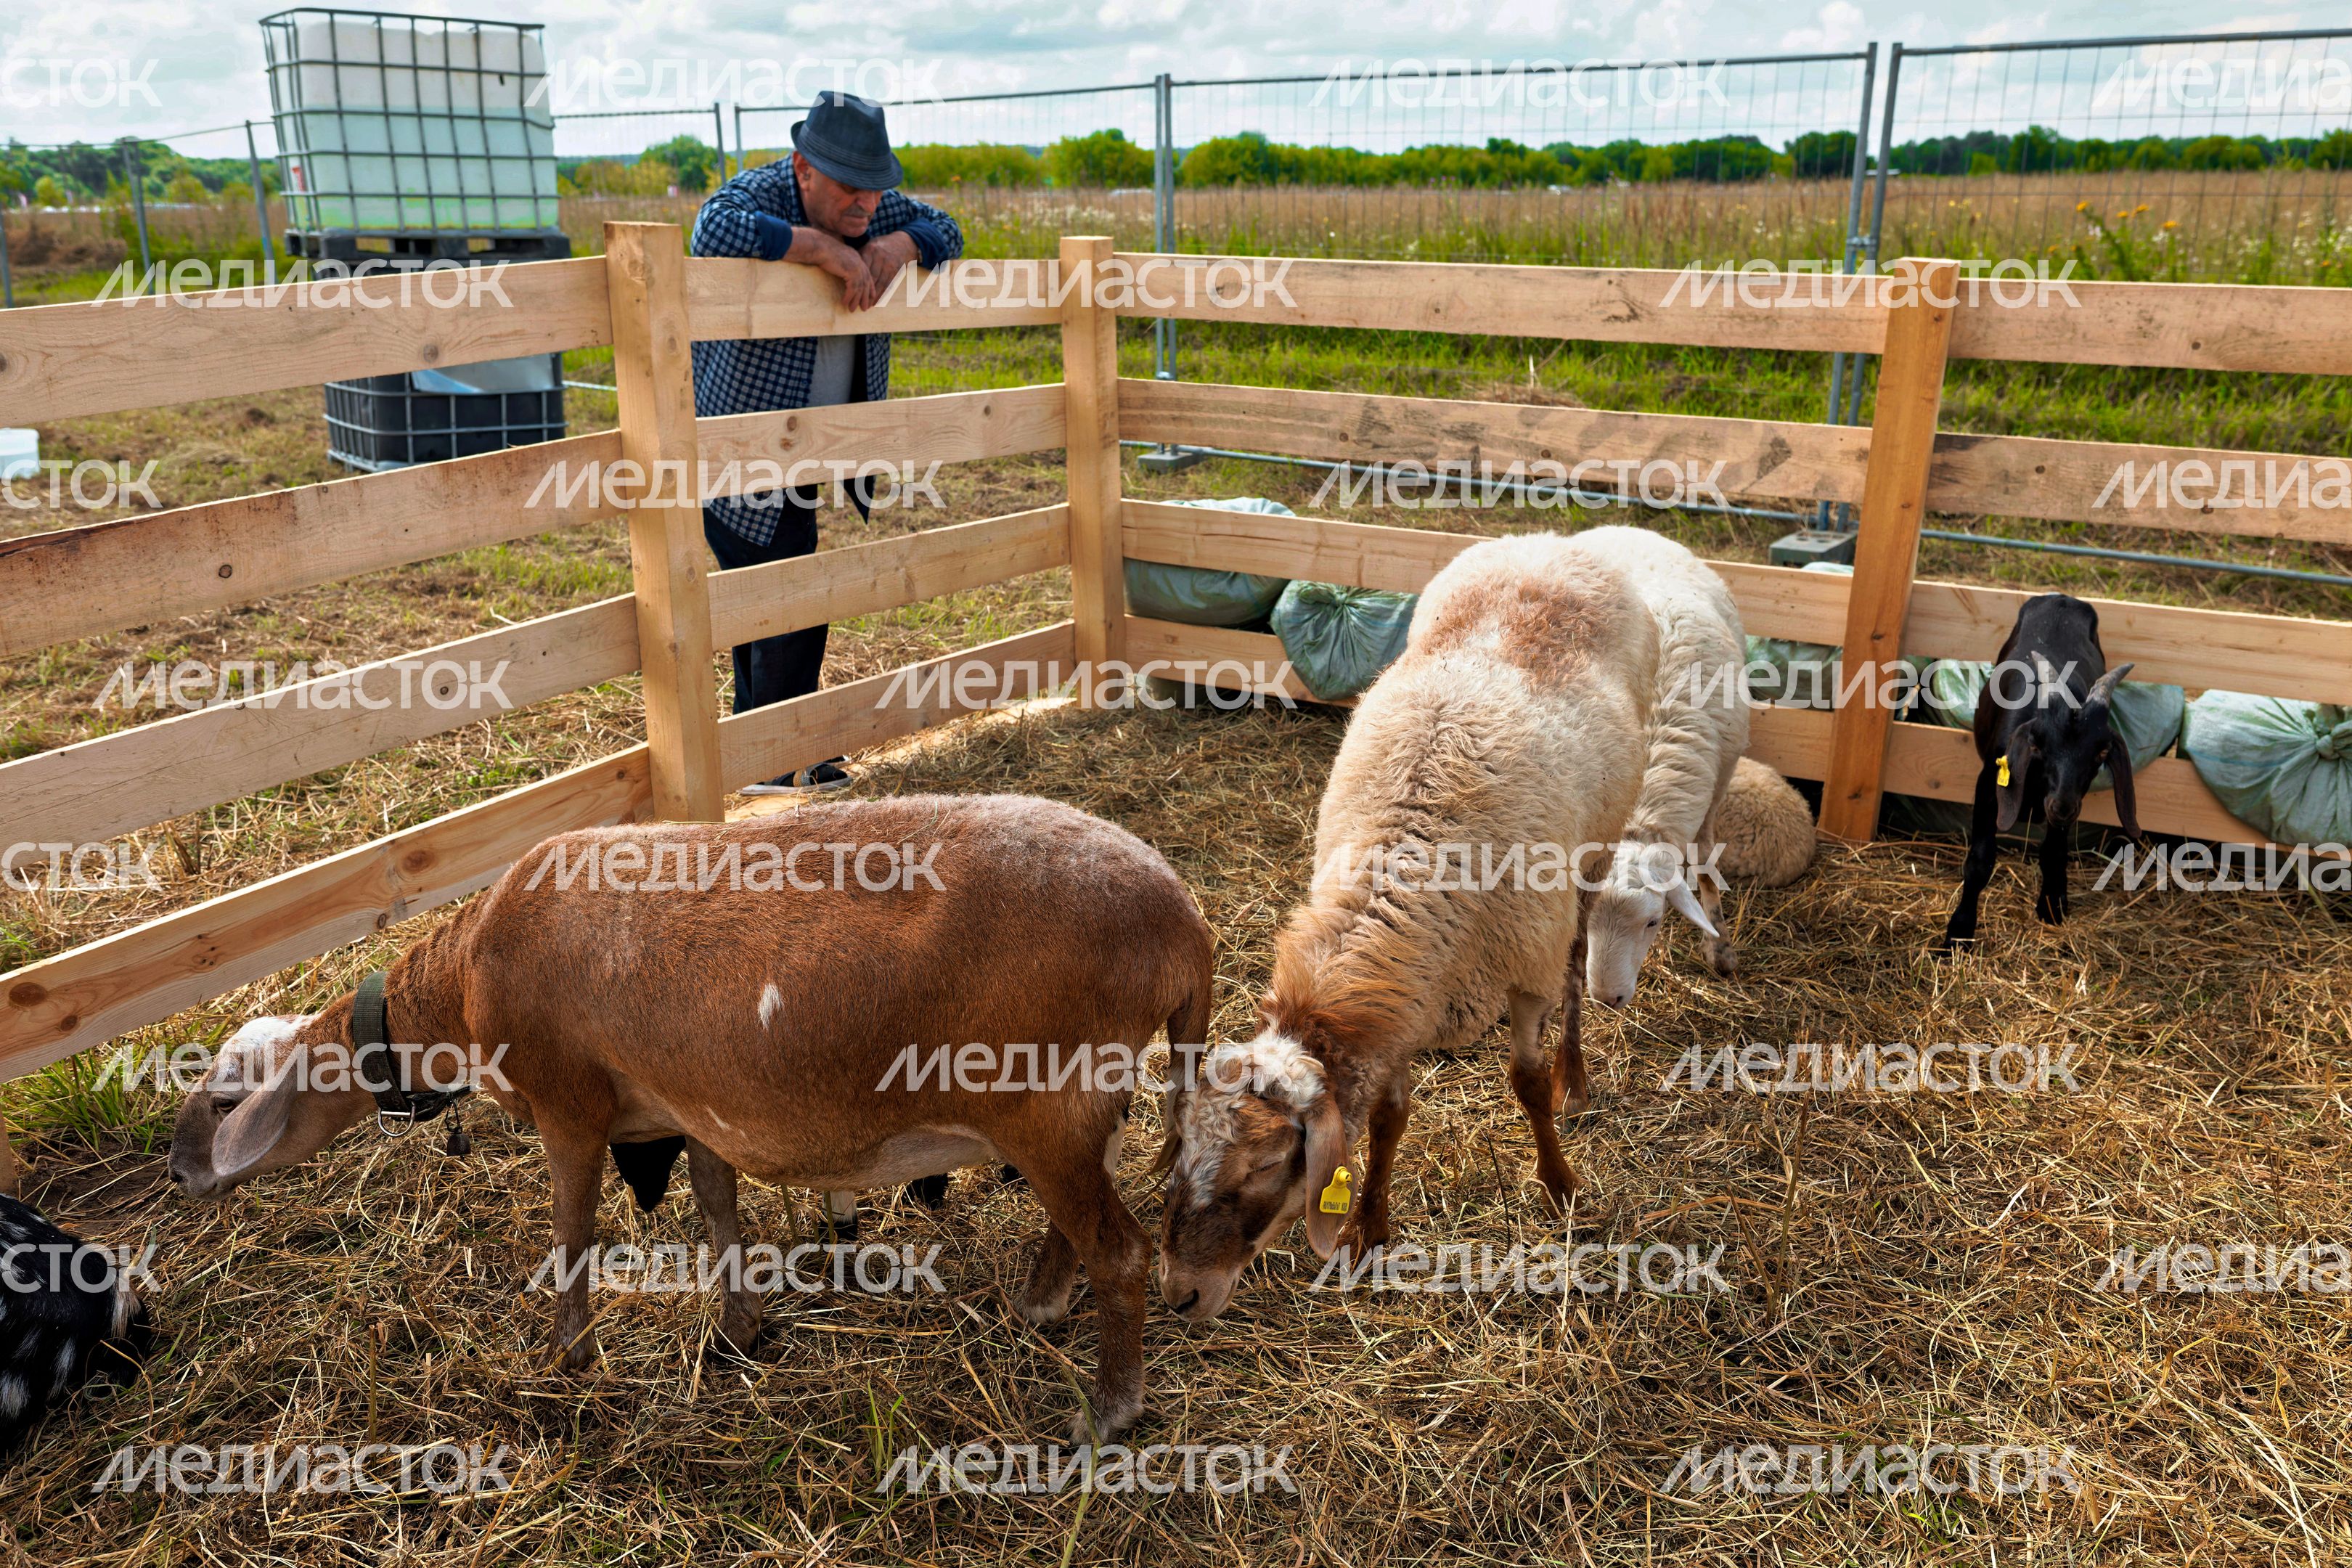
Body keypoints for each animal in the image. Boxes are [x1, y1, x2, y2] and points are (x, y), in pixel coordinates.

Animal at [168, 794, 1213, 1442]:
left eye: (223, 1097)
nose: (179, 1173)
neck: (459, 994)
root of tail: (1185, 921)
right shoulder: (687, 1106)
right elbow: (715, 1201)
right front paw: (741, 1328)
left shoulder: (569, 1104)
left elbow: (573, 1229)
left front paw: (569, 1357)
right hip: (1076, 1109)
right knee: (1080, 1223)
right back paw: (1039, 1304)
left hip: (1043, 1100)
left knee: (1119, 1250)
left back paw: (1109, 1410)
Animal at [1154, 533, 1657, 1319]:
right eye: (1183, 1150)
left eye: (1267, 1164)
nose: (1178, 1294)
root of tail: (1551, 541)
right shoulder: (1397, 1010)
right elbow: (1390, 1118)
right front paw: (1369, 1227)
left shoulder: (1524, 973)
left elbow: (1525, 1081)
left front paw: (1558, 1183)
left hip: (1593, 855)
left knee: (1578, 961)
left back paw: (1576, 1076)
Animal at [1571, 526, 1750, 1010]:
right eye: (1584, 924)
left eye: (1653, 922)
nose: (1606, 999)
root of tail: (1628, 528)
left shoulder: (1723, 774)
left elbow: (1705, 861)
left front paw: (1721, 948)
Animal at [1940, 594, 2141, 949]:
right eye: (2038, 745)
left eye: (2101, 753)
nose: (2061, 806)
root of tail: (2062, 598)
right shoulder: (1989, 784)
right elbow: (1980, 859)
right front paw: (1959, 932)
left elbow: (2054, 852)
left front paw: (2052, 906)